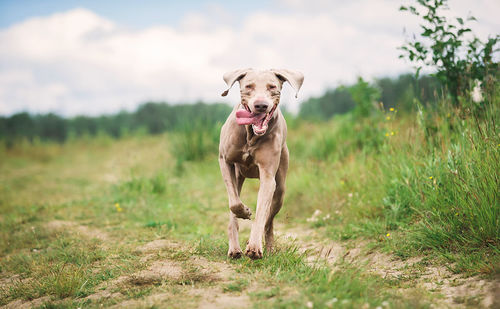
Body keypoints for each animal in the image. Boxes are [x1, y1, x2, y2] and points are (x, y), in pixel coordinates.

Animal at [219, 68, 304, 258]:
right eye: (248, 86)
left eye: (272, 87)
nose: (261, 105)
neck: (250, 135)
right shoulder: (225, 161)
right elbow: (234, 204)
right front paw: (245, 212)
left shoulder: (267, 176)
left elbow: (261, 213)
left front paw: (254, 246)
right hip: (238, 176)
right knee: (234, 208)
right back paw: (234, 248)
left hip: (280, 189)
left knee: (268, 220)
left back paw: (268, 247)